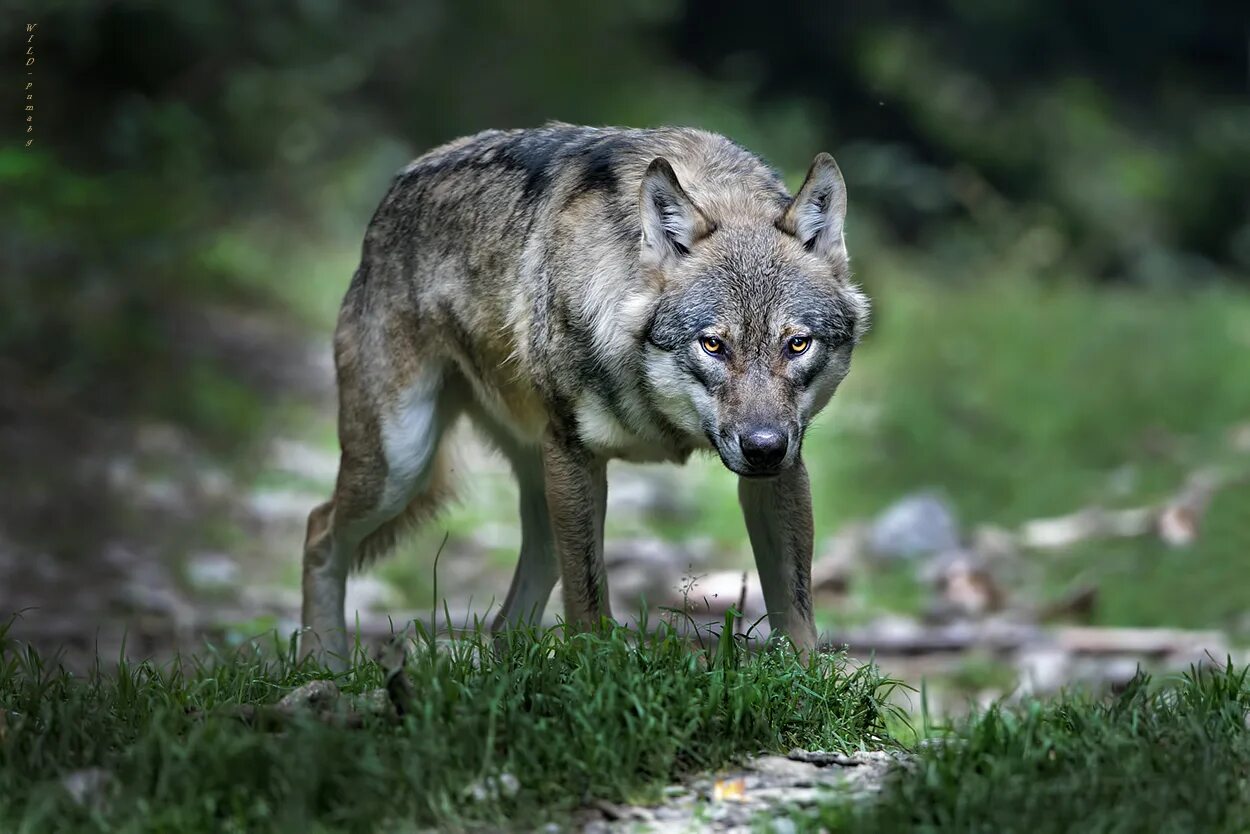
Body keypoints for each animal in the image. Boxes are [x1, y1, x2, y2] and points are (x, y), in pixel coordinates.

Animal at [301, 123, 870, 670]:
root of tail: (396, 186)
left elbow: (797, 613)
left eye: (797, 344)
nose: (763, 447)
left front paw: (805, 686)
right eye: (713, 344)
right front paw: (601, 673)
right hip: (405, 464)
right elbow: (589, 606)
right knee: (318, 530)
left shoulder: (783, 471)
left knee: (508, 619)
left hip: (532, 489)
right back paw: (324, 665)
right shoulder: (576, 455)